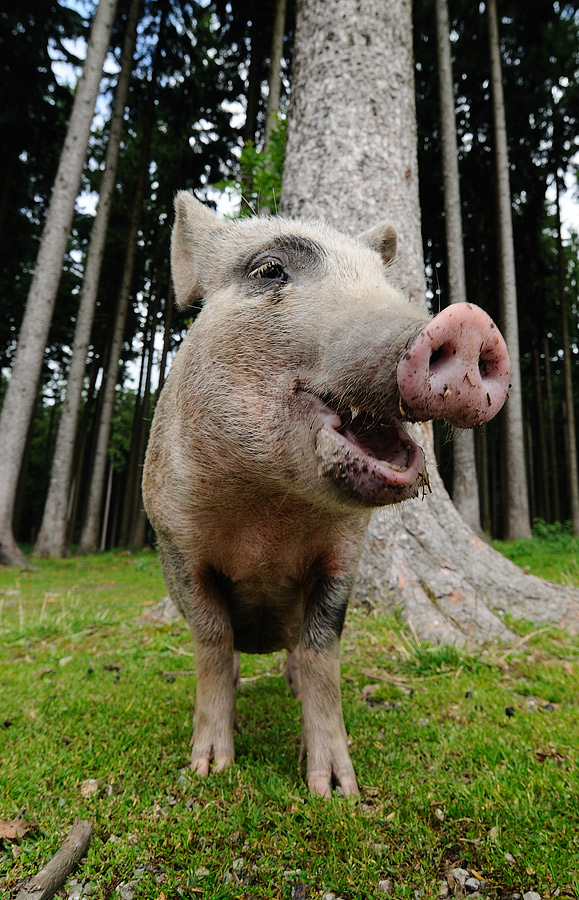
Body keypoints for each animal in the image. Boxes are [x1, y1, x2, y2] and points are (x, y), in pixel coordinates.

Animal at [142, 192, 510, 798]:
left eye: (383, 281)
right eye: (269, 269)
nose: (469, 321)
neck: (268, 516)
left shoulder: (344, 556)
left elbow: (322, 652)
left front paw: (336, 791)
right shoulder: (177, 543)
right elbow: (213, 642)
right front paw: (208, 770)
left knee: (296, 653)